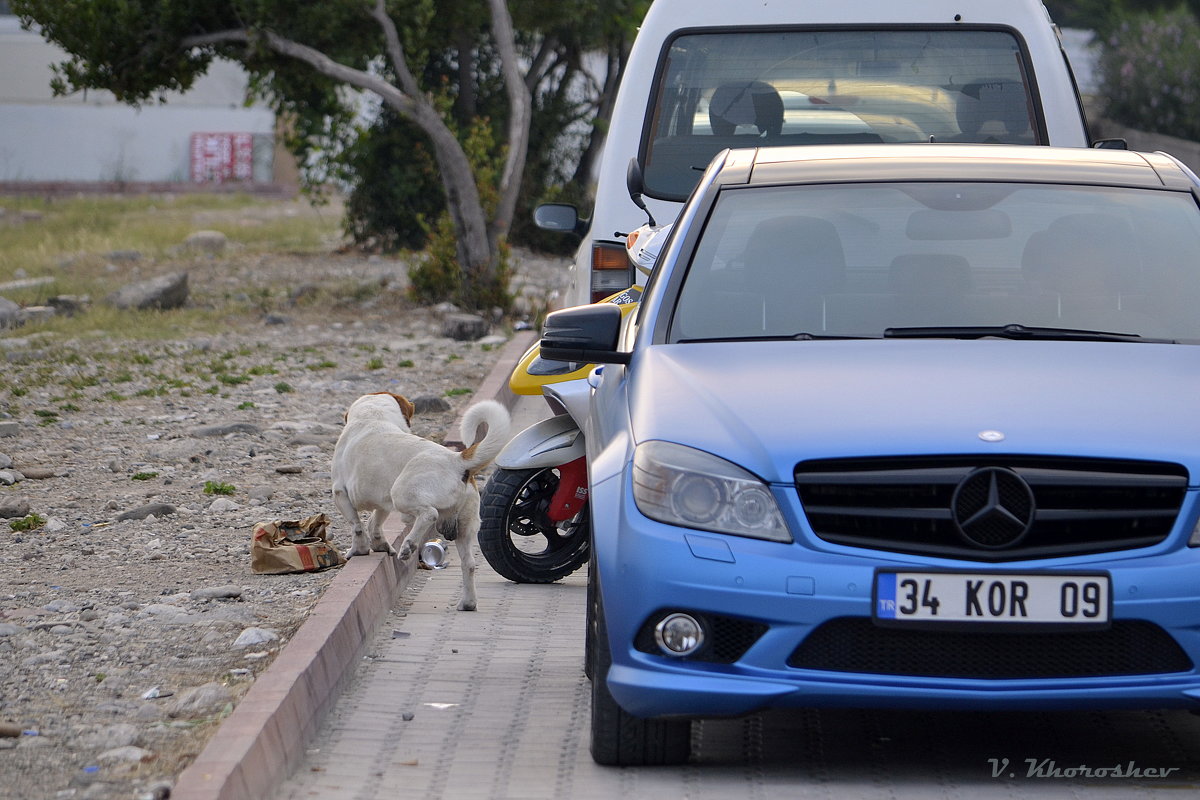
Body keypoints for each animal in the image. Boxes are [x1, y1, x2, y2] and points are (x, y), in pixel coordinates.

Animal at [333, 393, 511, 614]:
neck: (373, 415)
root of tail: (457, 460)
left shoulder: (340, 493)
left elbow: (357, 526)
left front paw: (359, 550)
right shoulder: (383, 504)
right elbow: (374, 523)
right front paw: (380, 545)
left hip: (401, 493)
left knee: (429, 514)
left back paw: (408, 545)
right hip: (464, 527)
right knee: (468, 564)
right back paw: (467, 603)